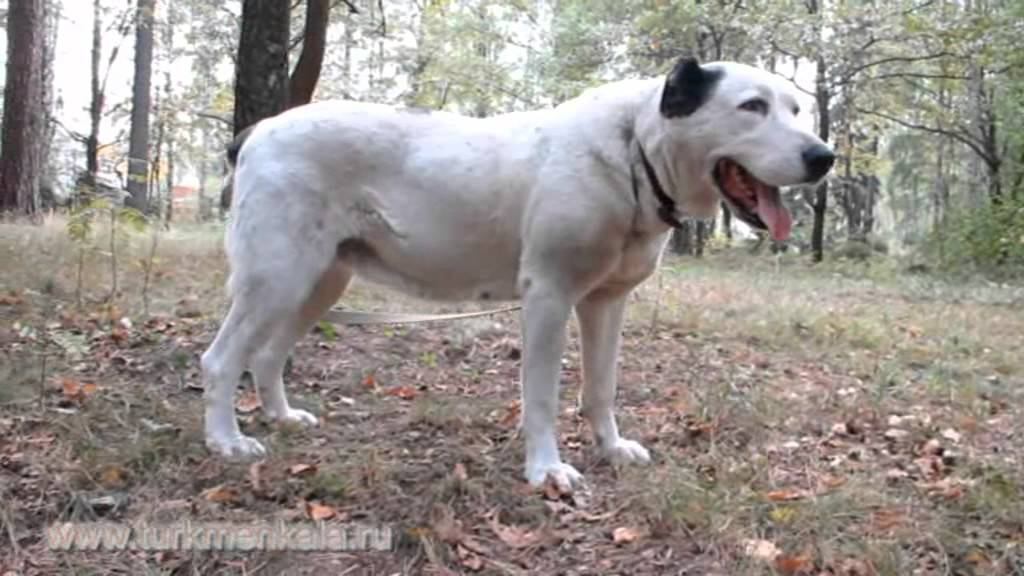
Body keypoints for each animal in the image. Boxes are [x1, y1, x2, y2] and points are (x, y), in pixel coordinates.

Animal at [203, 57, 835, 487]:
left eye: (795, 110)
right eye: (752, 107)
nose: (823, 157)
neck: (631, 151)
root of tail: (258, 130)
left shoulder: (606, 304)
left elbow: (601, 388)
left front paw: (610, 448)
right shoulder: (549, 300)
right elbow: (542, 398)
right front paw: (547, 470)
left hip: (318, 283)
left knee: (266, 354)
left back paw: (282, 417)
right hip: (276, 277)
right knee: (221, 360)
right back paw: (227, 442)